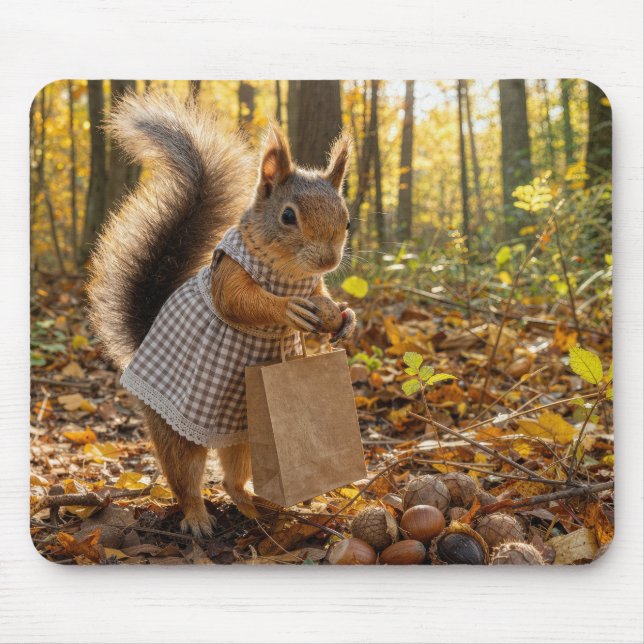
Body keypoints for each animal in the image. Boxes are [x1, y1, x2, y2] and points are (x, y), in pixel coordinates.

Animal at [87, 92, 356, 537]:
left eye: (347, 220)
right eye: (288, 216)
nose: (328, 259)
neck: (290, 275)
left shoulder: (315, 285)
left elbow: (324, 297)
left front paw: (346, 319)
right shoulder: (229, 271)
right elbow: (238, 302)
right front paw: (287, 309)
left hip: (245, 430)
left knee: (233, 476)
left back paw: (251, 505)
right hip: (178, 433)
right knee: (184, 478)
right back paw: (197, 517)